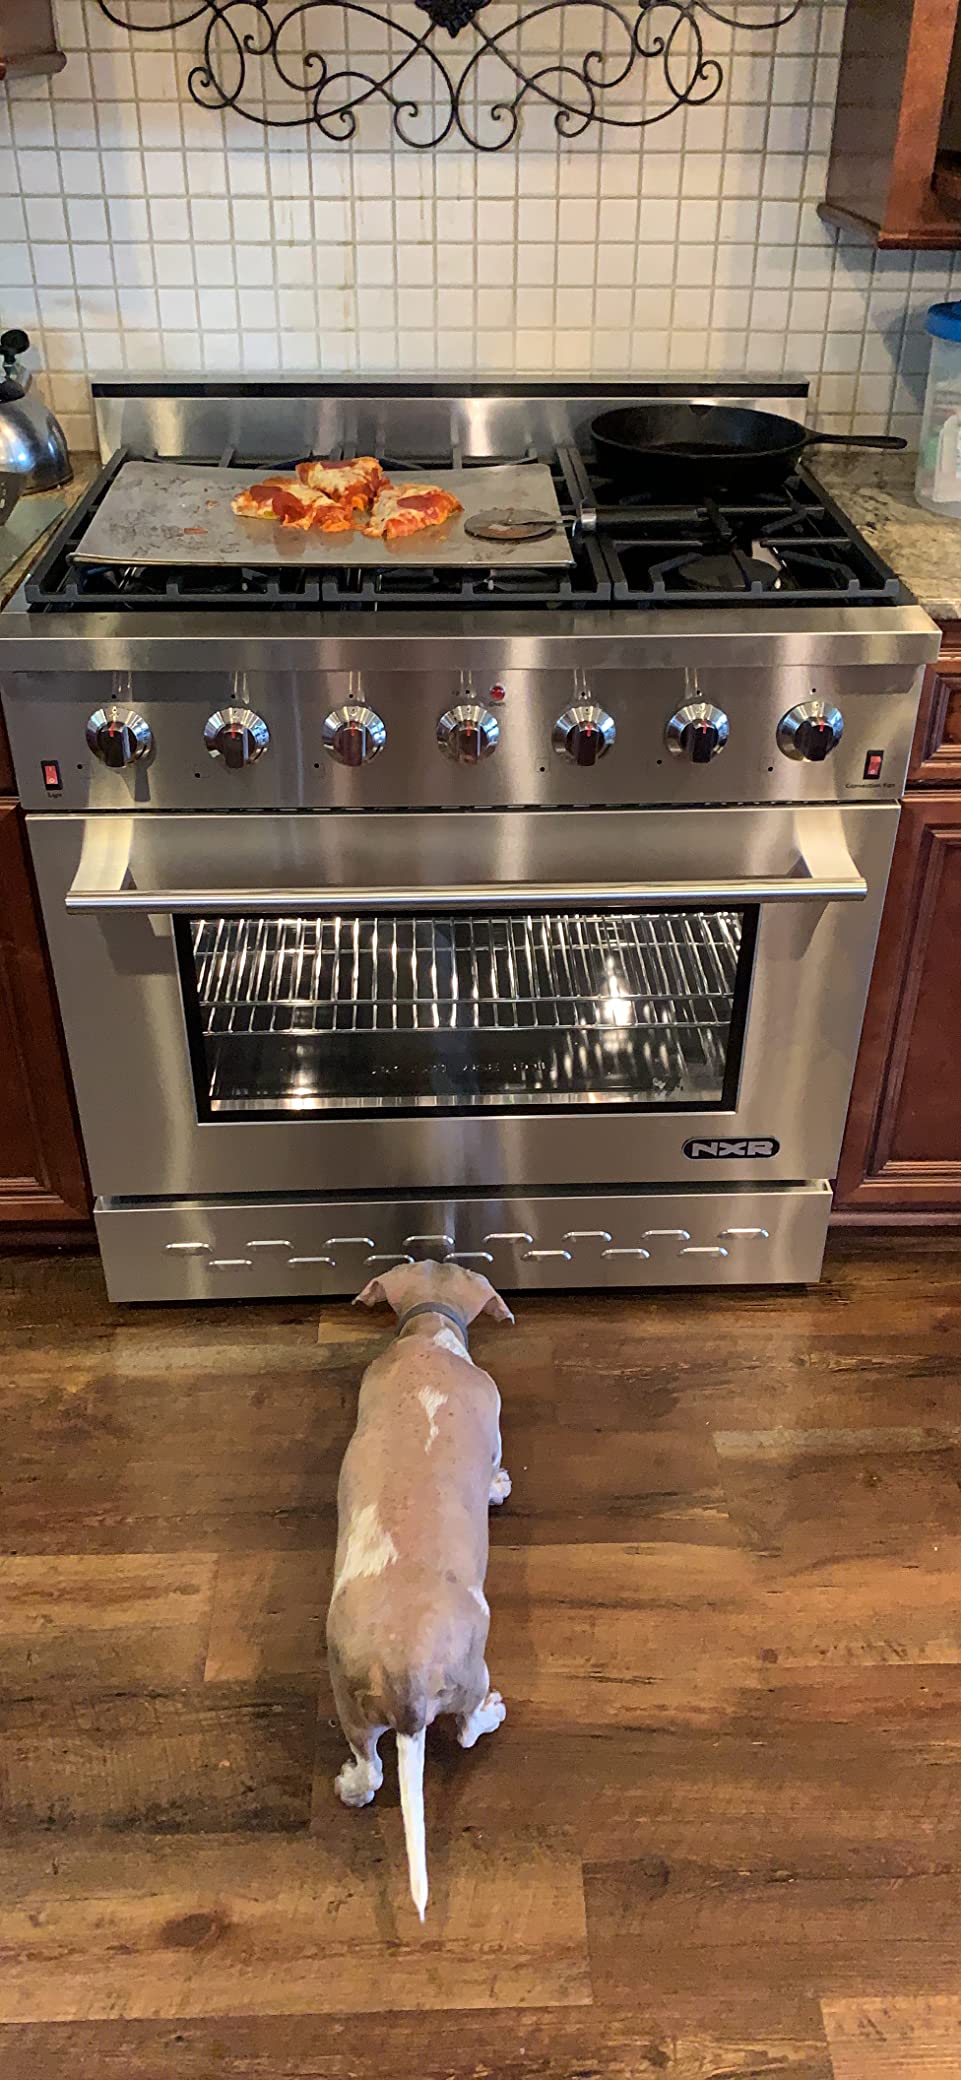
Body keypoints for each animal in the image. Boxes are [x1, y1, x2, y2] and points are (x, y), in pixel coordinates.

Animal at [325, 1259, 514, 1919]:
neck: (429, 1336)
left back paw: (352, 1786)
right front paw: (498, 1487)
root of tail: (404, 1675)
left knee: (371, 1768)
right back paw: (491, 1714)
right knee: (465, 1730)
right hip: (472, 1673)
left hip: (349, 1700)